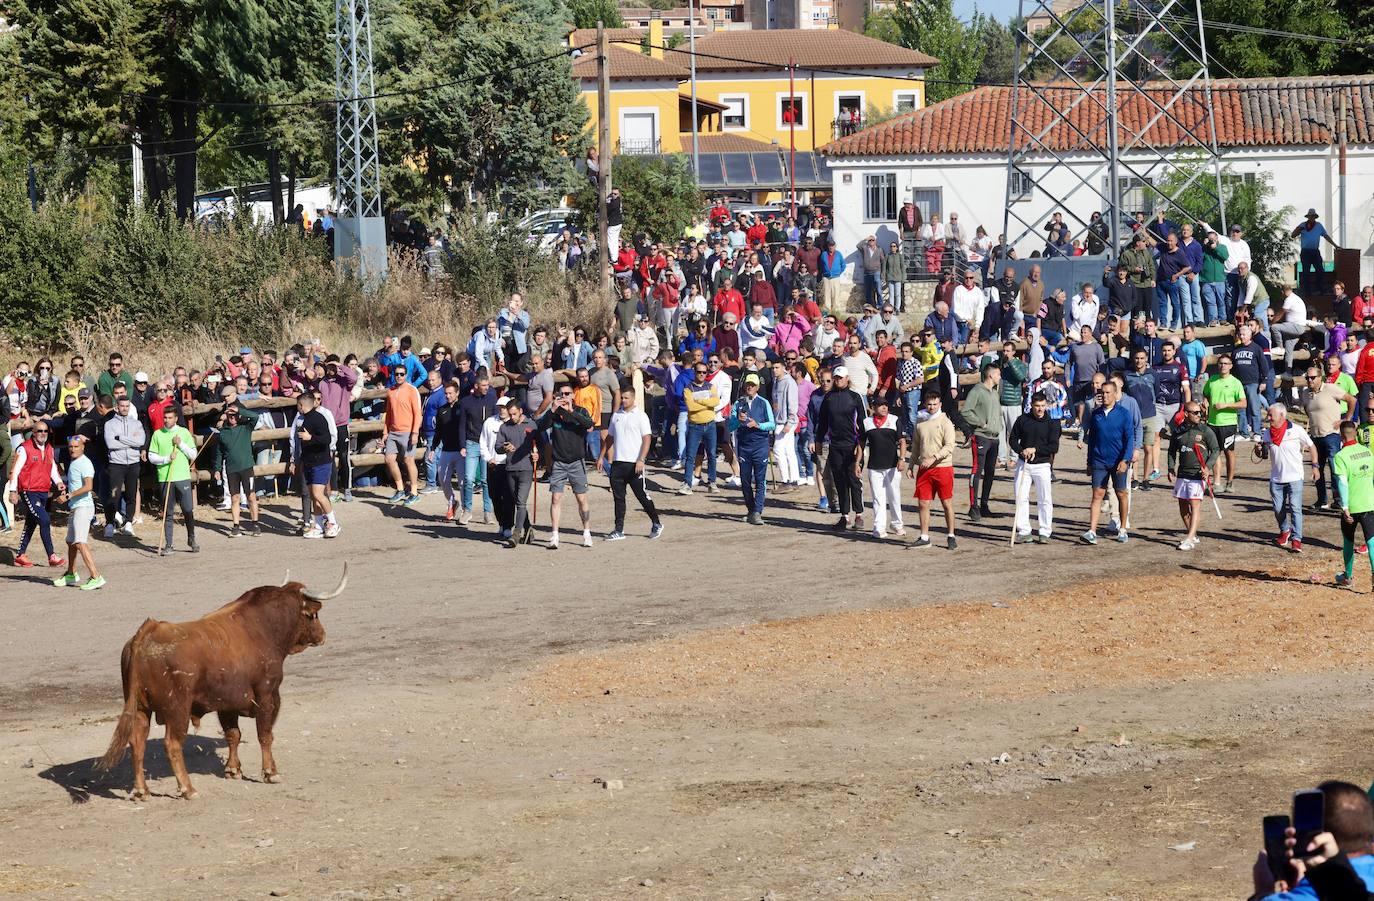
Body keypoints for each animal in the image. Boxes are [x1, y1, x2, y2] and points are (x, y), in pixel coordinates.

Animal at [97, 565, 343, 796]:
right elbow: (265, 735)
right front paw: (270, 773)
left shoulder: (227, 703)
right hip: (177, 709)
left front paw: (233, 770)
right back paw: (188, 789)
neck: (262, 627)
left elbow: (233, 734)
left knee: (137, 742)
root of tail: (147, 632)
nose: (322, 635)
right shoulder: (267, 695)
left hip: (140, 708)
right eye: (312, 615)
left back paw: (142, 791)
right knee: (172, 744)